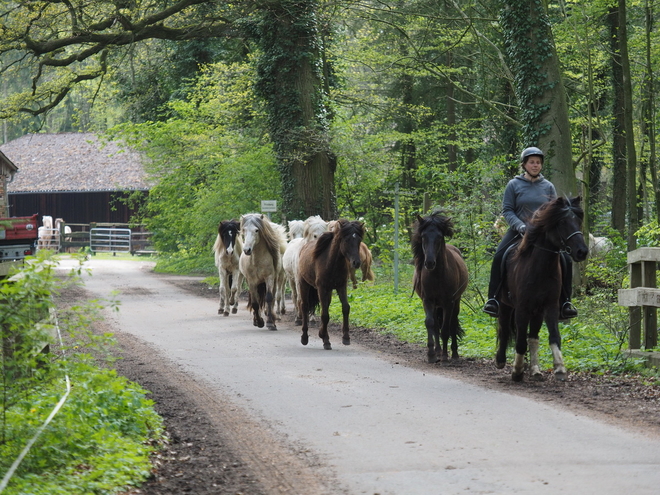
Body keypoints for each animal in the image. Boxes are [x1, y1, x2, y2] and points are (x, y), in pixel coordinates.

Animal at [296, 219, 364, 350]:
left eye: (359, 240)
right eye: (346, 240)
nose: (356, 263)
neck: (331, 263)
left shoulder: (341, 286)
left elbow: (345, 308)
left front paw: (346, 337)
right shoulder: (322, 288)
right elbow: (325, 314)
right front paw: (326, 340)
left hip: (329, 291)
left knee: (324, 306)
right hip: (304, 285)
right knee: (305, 306)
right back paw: (304, 337)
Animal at [412, 213, 470, 364]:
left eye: (439, 236)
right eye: (423, 236)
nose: (429, 262)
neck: (437, 275)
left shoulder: (448, 302)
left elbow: (445, 329)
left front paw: (445, 357)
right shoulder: (428, 301)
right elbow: (430, 324)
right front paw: (431, 354)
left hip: (456, 302)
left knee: (452, 324)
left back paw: (454, 354)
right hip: (436, 305)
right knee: (436, 325)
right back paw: (438, 352)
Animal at [496, 196, 588, 382]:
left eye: (578, 220)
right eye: (562, 222)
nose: (582, 252)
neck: (540, 269)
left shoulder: (550, 306)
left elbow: (554, 336)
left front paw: (559, 368)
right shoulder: (522, 308)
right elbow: (520, 340)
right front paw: (517, 371)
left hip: (536, 311)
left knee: (533, 338)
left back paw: (535, 370)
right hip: (505, 305)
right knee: (504, 329)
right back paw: (501, 360)